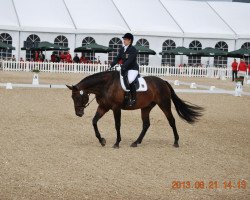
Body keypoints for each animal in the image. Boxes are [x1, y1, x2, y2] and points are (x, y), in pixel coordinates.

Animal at [66, 71, 203, 148]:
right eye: (72, 97)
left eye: (77, 97)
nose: (78, 113)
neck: (106, 85)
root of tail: (163, 81)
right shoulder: (103, 107)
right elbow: (94, 121)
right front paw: (102, 141)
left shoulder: (116, 108)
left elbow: (117, 125)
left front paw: (117, 143)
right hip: (146, 108)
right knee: (146, 124)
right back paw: (136, 142)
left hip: (164, 105)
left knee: (172, 121)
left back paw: (176, 142)